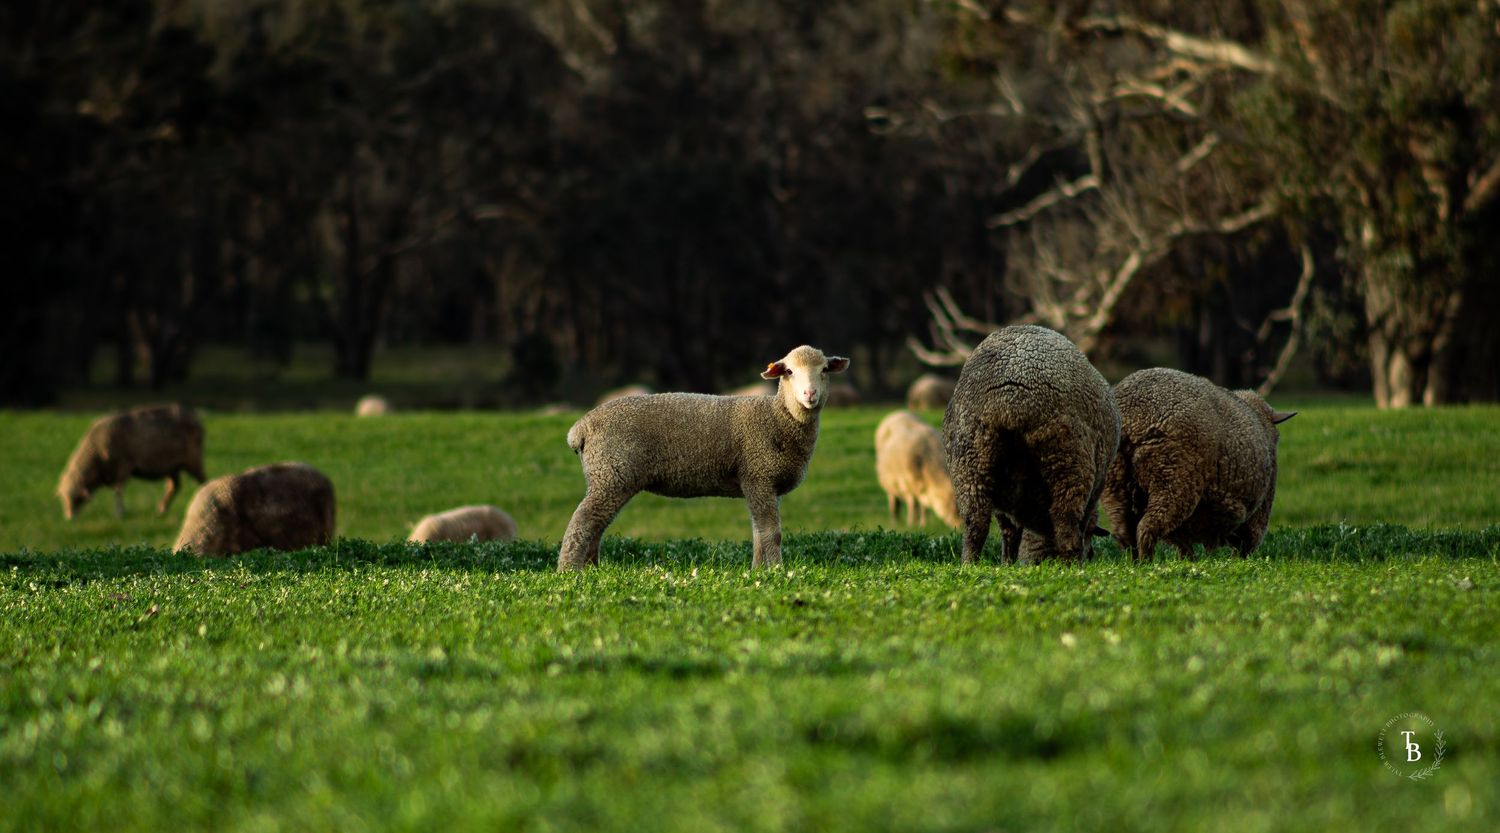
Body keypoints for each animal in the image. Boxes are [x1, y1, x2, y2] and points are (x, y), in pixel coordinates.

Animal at [56, 404, 206, 520]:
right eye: (63, 500)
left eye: (76, 500)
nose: (69, 519)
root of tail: (195, 417)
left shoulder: (122, 466)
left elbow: (118, 491)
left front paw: (120, 513)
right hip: (171, 465)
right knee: (173, 487)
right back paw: (161, 511)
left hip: (193, 460)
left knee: (202, 481)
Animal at [558, 345, 850, 570]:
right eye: (789, 371)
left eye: (824, 370)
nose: (810, 394)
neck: (778, 417)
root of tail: (581, 428)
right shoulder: (758, 475)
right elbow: (772, 533)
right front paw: (778, 571)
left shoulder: (760, 484)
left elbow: (758, 533)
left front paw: (757, 571)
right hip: (611, 473)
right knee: (582, 522)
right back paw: (569, 571)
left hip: (609, 477)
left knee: (596, 525)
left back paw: (592, 569)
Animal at [943, 325, 1120, 563]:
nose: (1090, 555)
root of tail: (1010, 397)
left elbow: (1009, 531)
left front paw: (1008, 563)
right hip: (1067, 462)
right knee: (1067, 526)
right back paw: (1073, 565)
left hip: (971, 461)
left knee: (975, 524)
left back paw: (972, 564)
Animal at [1101, 368, 1295, 560]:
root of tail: (1132, 418)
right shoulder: (1253, 513)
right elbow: (1236, 540)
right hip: (1174, 482)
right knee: (1147, 527)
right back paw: (1147, 562)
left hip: (1115, 485)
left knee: (1124, 532)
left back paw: (1136, 562)